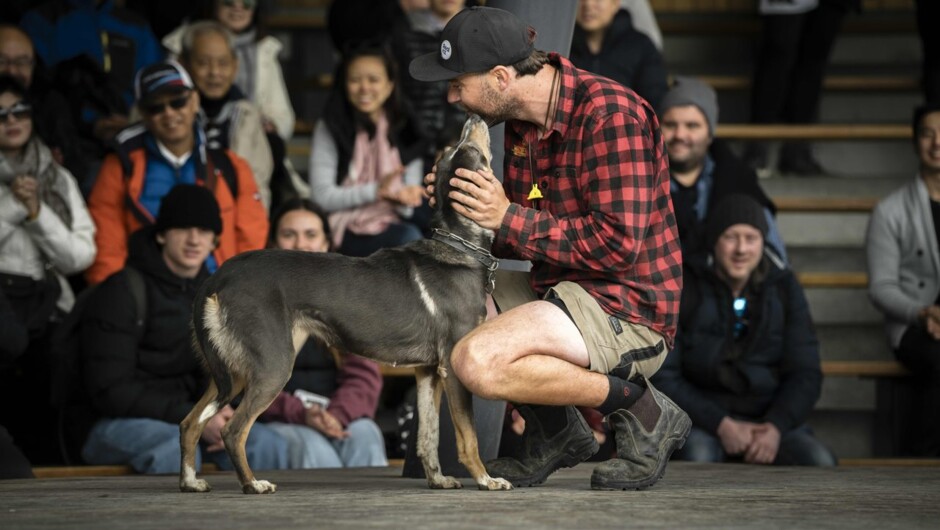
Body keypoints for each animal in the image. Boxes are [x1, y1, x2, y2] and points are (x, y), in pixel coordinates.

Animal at [178, 113, 516, 492]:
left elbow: (428, 436)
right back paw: (253, 484)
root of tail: (218, 277)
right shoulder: (453, 366)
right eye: (471, 151)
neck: (459, 246)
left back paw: (191, 482)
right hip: (271, 366)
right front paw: (486, 479)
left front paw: (438, 479)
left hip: (232, 370)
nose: (473, 116)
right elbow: (468, 436)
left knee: (190, 423)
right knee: (232, 429)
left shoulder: (427, 371)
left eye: (453, 151)